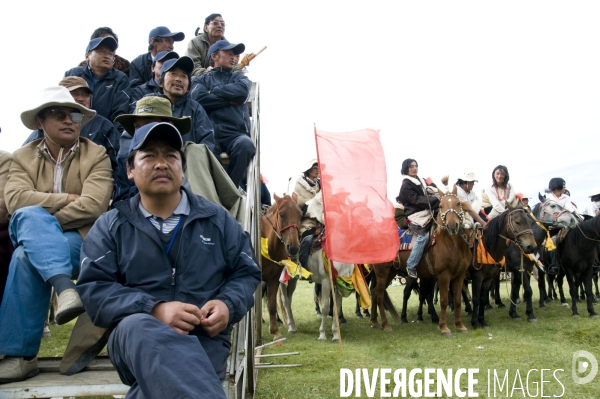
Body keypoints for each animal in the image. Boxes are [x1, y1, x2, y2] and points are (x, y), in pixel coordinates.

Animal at [260, 194, 302, 340]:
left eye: (300, 215)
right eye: (282, 215)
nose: (293, 247)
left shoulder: (273, 279)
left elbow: (272, 305)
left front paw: (275, 332)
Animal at [370, 191, 474, 338]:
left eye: (458, 203)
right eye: (441, 206)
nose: (452, 226)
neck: (452, 245)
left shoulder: (459, 275)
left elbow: (458, 300)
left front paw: (460, 326)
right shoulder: (443, 275)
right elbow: (443, 300)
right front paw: (444, 328)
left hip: (391, 272)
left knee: (374, 292)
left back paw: (375, 322)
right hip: (382, 271)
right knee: (379, 295)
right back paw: (386, 325)